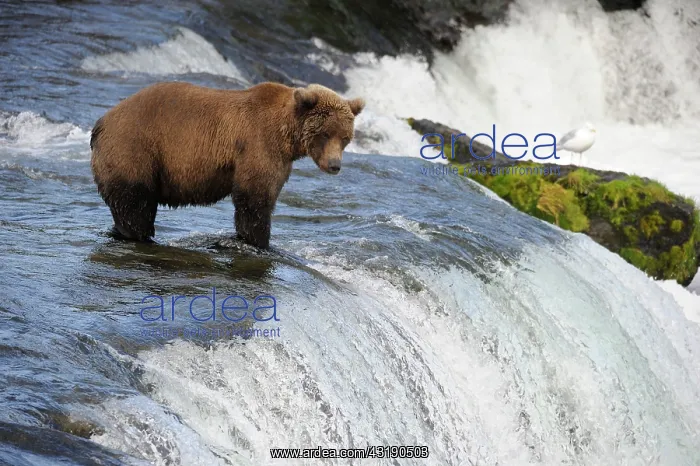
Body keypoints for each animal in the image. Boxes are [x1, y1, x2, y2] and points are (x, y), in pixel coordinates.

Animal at [89, 81, 365, 249]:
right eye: (325, 133)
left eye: (345, 137)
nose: (334, 165)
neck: (287, 135)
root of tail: (101, 123)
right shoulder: (258, 143)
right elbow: (254, 197)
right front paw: (259, 241)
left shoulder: (280, 160)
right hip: (136, 148)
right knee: (134, 204)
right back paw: (140, 236)